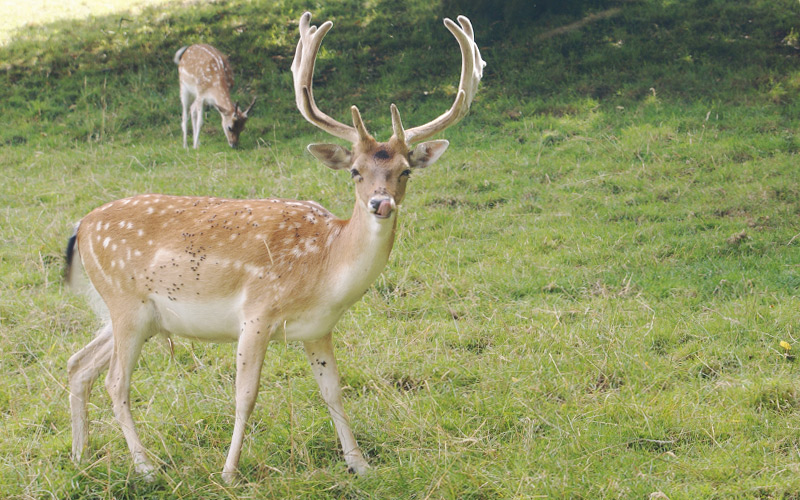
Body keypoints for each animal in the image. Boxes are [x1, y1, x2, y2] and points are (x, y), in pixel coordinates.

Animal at [65, 10, 484, 480]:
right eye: (355, 171)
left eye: (405, 171)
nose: (381, 203)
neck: (324, 269)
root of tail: (80, 228)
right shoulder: (257, 312)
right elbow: (245, 395)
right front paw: (229, 472)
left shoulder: (318, 329)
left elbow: (334, 392)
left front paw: (359, 464)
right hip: (126, 303)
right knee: (115, 381)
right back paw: (146, 466)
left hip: (134, 315)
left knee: (78, 364)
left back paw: (80, 457)